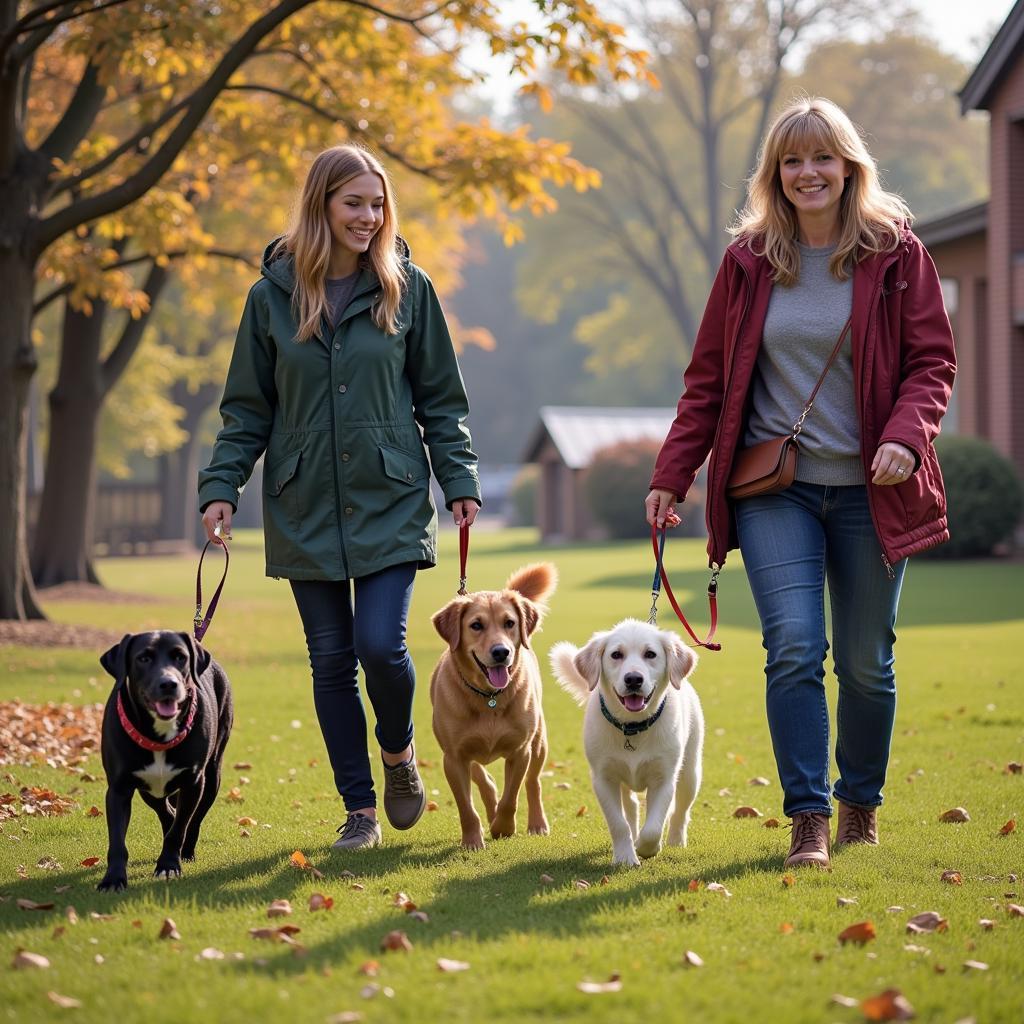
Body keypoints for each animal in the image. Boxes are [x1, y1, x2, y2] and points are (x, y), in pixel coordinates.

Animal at [96, 626, 232, 892]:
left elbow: (180, 827)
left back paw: (186, 850)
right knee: (166, 811)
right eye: (143, 658)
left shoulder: (192, 782)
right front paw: (113, 879)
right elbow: (117, 840)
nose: (168, 684)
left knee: (193, 819)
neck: (158, 734)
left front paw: (168, 865)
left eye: (180, 657)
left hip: (212, 777)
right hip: (149, 789)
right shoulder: (119, 788)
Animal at [432, 565, 561, 851]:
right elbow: (466, 806)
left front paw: (503, 827)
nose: (501, 652)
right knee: (485, 781)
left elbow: (511, 796)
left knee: (533, 783)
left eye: (509, 623)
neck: (489, 697)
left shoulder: (521, 750)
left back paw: (537, 823)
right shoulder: (453, 757)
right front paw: (473, 839)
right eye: (476, 625)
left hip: (540, 742)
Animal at [552, 618, 704, 868]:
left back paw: (676, 839)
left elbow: (653, 827)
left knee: (681, 809)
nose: (633, 679)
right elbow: (618, 823)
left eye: (650, 654)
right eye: (616, 654)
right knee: (630, 808)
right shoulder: (603, 779)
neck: (632, 728)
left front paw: (646, 847)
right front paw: (625, 856)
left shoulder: (664, 779)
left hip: (690, 772)